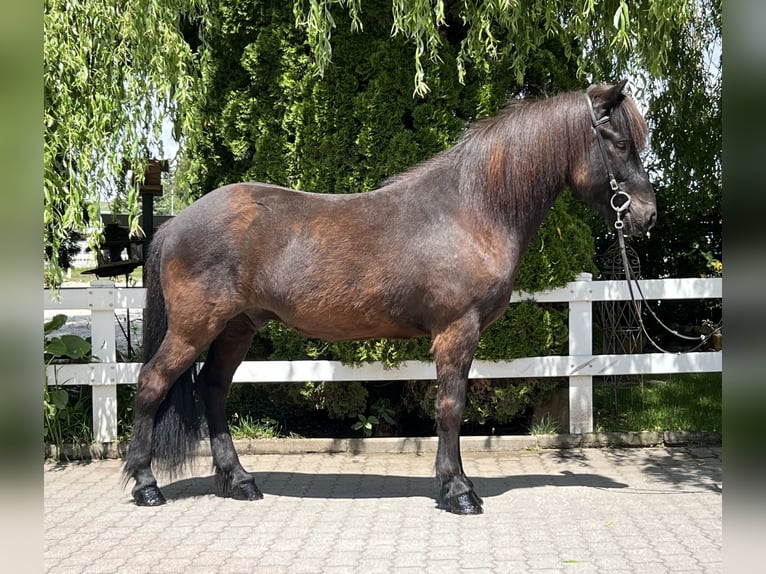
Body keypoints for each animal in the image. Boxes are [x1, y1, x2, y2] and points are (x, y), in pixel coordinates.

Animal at [123, 79, 656, 516]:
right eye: (620, 143)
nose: (646, 216)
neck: (471, 210)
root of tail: (174, 224)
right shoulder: (457, 331)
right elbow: (451, 407)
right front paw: (458, 491)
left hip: (236, 327)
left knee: (213, 389)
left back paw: (239, 481)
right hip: (195, 327)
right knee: (151, 383)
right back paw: (147, 486)